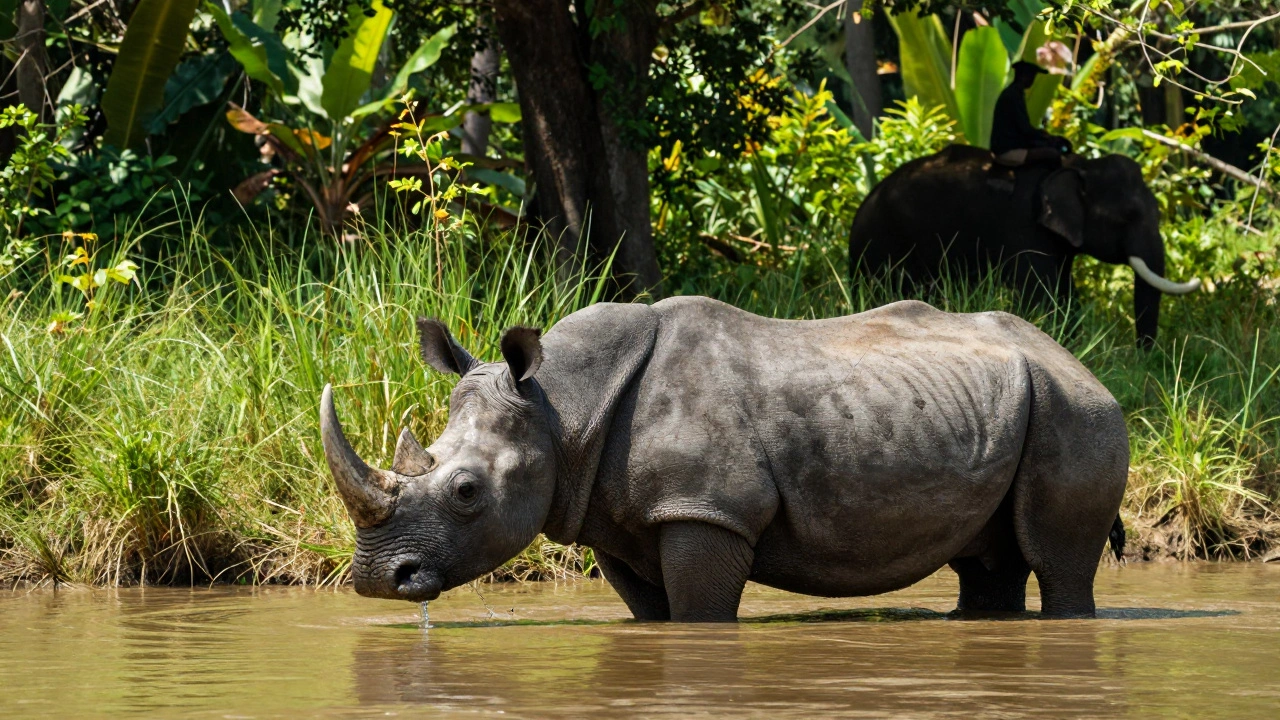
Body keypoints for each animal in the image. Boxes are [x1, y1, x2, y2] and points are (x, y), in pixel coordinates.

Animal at [321, 297, 1128, 621]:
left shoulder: (707, 510)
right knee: (988, 560)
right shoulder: (614, 517)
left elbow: (698, 613)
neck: (560, 411)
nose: (378, 581)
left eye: (465, 491)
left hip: (1076, 412)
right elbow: (650, 612)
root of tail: (1082, 363)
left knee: (1059, 561)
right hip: (1016, 406)